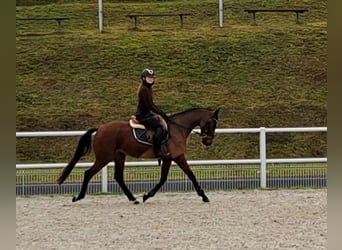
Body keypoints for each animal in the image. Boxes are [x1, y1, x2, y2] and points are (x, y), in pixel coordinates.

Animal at [57, 107, 220, 203]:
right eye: (212, 123)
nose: (208, 141)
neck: (177, 129)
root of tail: (100, 128)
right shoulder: (175, 157)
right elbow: (185, 176)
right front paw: (204, 196)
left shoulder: (171, 158)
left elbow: (169, 178)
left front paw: (146, 195)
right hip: (104, 158)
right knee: (88, 173)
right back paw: (78, 197)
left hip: (119, 156)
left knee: (118, 177)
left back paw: (132, 198)